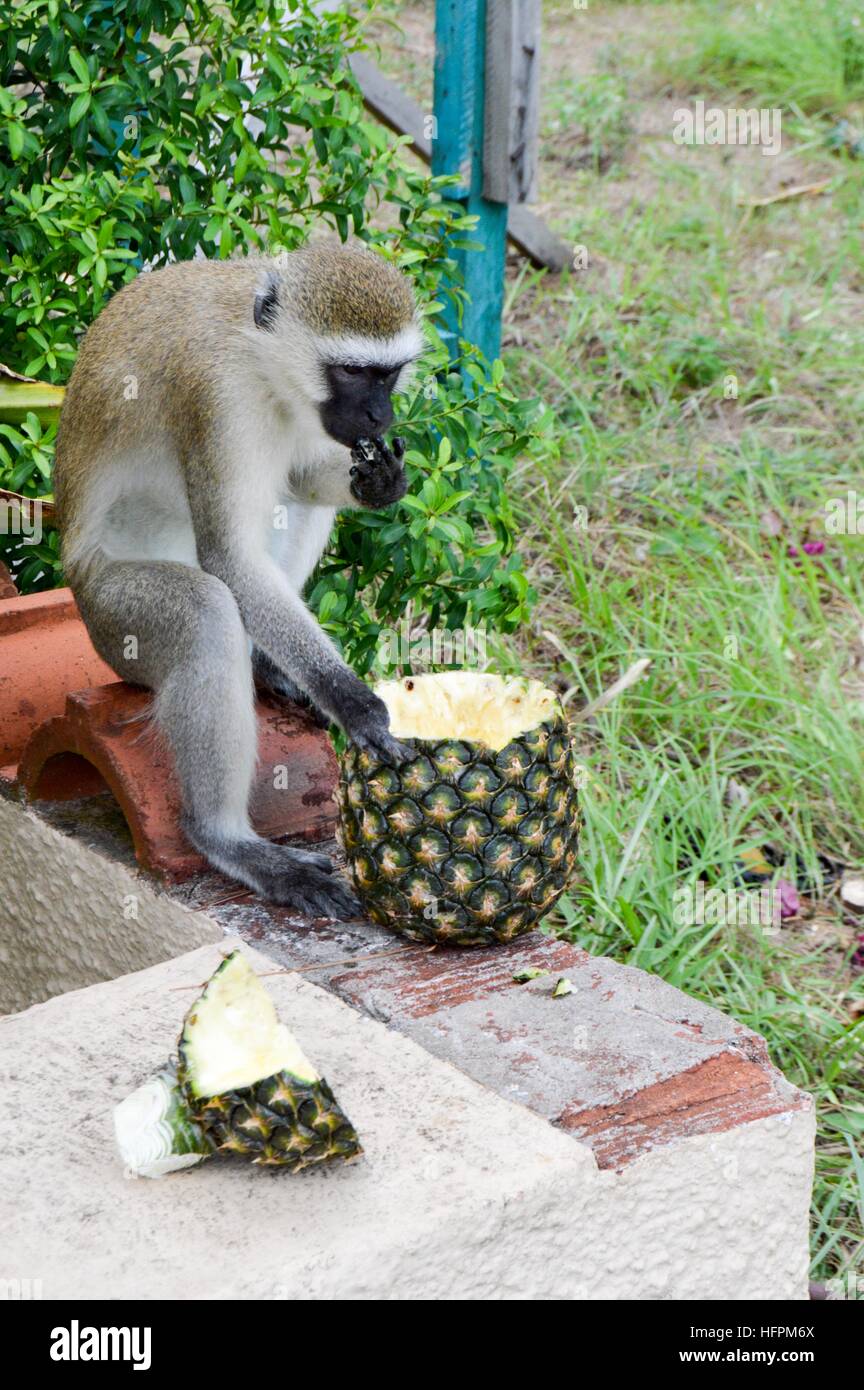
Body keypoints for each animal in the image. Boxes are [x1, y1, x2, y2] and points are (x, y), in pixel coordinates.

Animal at [54, 244, 427, 917]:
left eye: (387, 375)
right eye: (351, 371)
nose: (380, 414)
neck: (261, 357)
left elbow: (303, 478)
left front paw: (380, 482)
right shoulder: (218, 398)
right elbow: (229, 558)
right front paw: (353, 702)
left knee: (293, 500)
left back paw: (264, 664)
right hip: (110, 622)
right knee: (205, 611)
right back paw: (227, 841)